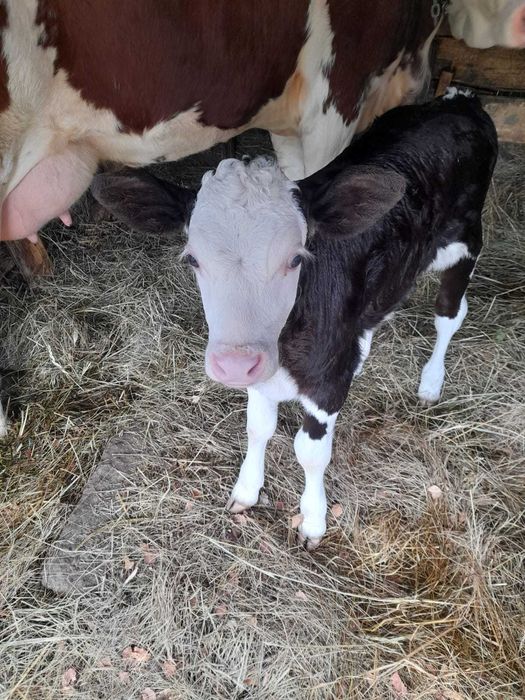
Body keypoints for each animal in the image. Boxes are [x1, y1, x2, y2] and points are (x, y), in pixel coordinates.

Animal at [92, 90, 498, 547]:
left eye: (295, 259)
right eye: (193, 259)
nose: (234, 363)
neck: (288, 345)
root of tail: (459, 101)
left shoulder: (327, 384)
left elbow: (310, 451)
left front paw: (313, 519)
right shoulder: (264, 367)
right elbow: (257, 427)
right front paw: (247, 490)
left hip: (466, 240)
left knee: (449, 315)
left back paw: (431, 382)